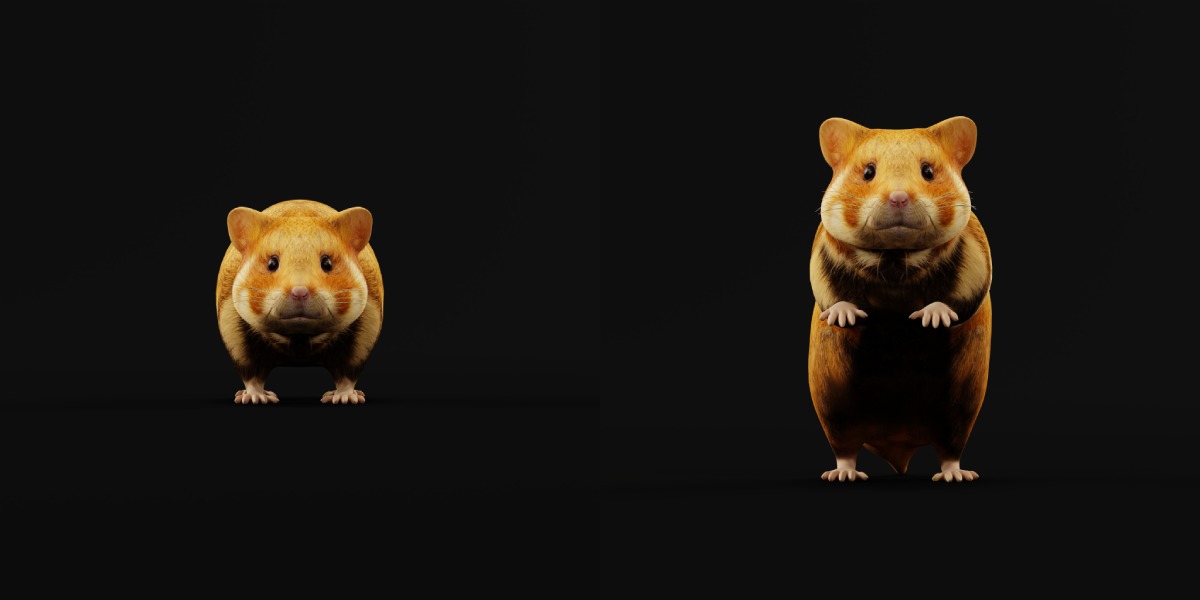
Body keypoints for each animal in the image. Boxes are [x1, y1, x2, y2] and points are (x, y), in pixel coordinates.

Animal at [215, 199, 384, 405]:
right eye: (272, 263)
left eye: (327, 263)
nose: (300, 292)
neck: (299, 340)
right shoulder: (233, 329)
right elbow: (252, 372)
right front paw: (254, 397)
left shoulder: (366, 329)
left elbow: (347, 372)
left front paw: (345, 397)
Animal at [808, 116, 992, 482]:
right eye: (868, 172)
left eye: (928, 171)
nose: (898, 198)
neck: (895, 258)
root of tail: (898, 445)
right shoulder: (821, 248)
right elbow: (826, 290)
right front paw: (846, 316)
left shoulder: (977, 255)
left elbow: (966, 294)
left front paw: (930, 317)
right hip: (833, 403)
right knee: (845, 448)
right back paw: (843, 475)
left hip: (961, 406)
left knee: (950, 447)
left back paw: (956, 475)